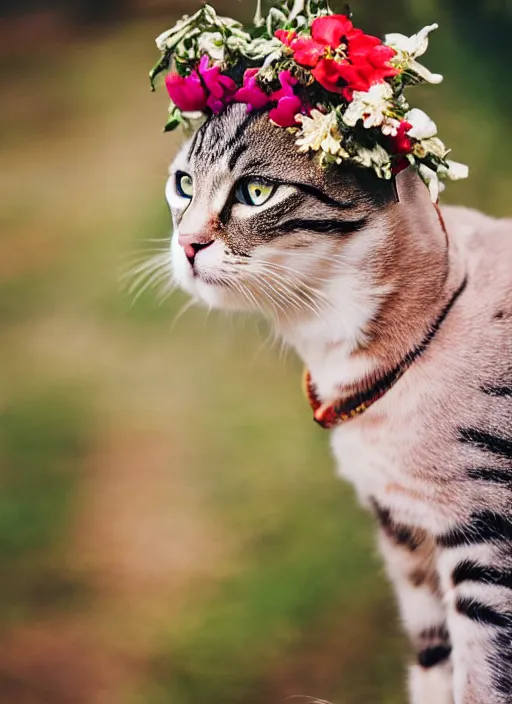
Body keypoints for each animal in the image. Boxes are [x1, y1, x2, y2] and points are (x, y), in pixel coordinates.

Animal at [166, 103, 510, 704]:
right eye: (183, 184)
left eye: (257, 192)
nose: (186, 244)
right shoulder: (403, 532)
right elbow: (434, 662)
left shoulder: (486, 540)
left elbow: (482, 680)